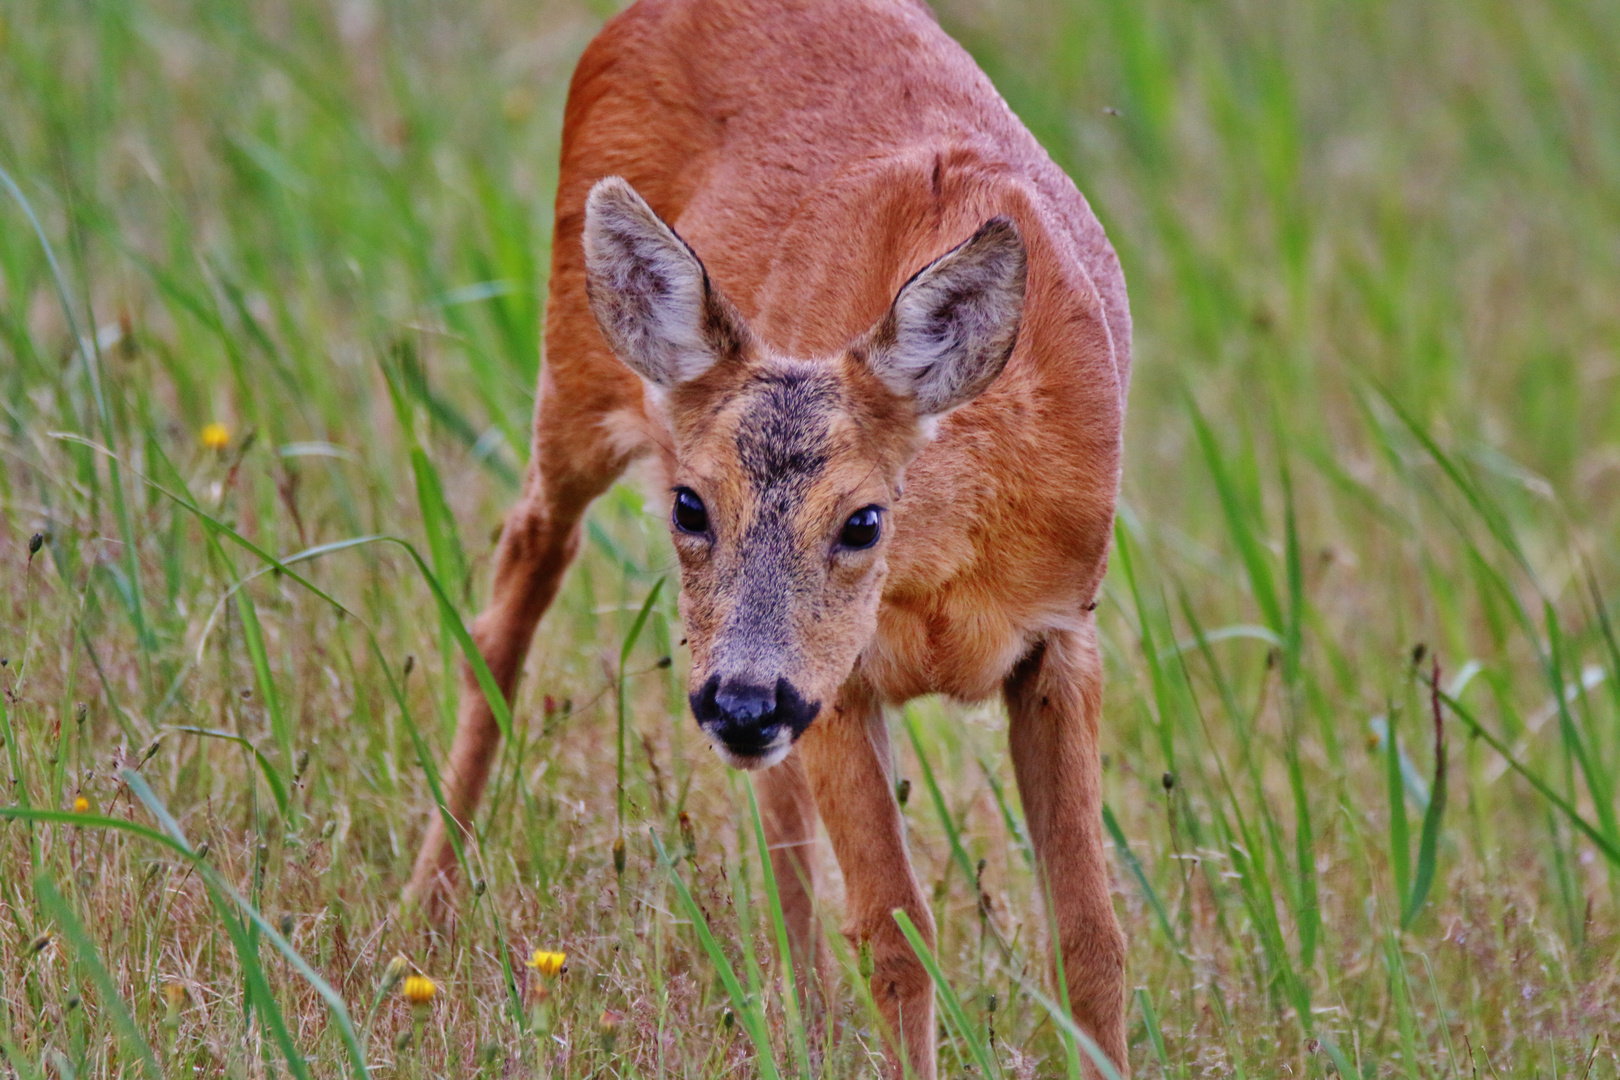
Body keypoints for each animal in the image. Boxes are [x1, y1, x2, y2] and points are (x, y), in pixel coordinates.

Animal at [411, 2, 1134, 1075]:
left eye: (863, 518)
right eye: (688, 506)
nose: (741, 703)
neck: (941, 583)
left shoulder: (1061, 635)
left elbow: (1090, 938)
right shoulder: (841, 680)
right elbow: (896, 930)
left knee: (778, 807)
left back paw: (806, 1018)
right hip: (574, 376)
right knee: (510, 599)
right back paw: (417, 926)